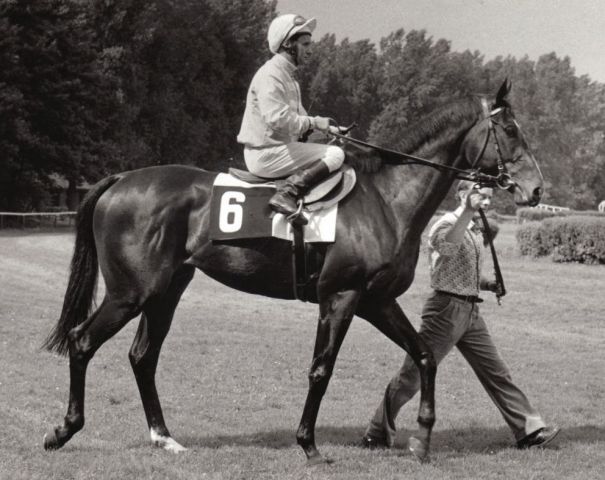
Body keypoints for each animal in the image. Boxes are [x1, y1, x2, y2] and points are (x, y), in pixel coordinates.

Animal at [42, 80, 544, 464]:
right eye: (510, 129)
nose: (536, 189)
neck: (385, 200)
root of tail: (121, 180)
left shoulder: (377, 301)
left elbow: (423, 357)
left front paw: (421, 440)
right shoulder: (341, 298)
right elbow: (321, 370)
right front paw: (309, 445)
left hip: (165, 292)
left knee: (143, 357)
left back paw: (164, 437)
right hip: (130, 293)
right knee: (82, 342)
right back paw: (64, 430)